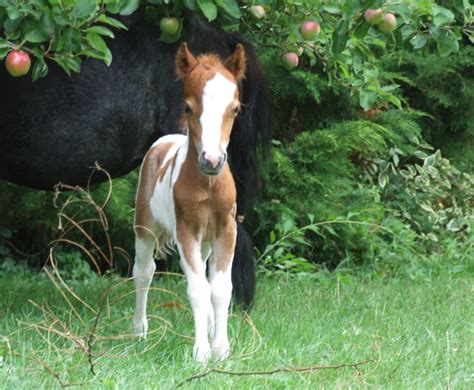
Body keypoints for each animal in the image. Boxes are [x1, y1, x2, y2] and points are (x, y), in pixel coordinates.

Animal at [131, 42, 246, 362]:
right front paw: (201, 353)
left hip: (205, 242)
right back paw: (139, 331)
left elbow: (219, 288)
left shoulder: (225, 229)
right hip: (144, 228)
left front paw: (221, 348)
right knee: (143, 272)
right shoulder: (186, 231)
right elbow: (197, 289)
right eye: (188, 107)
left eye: (235, 109)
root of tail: (163, 141)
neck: (207, 185)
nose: (212, 160)